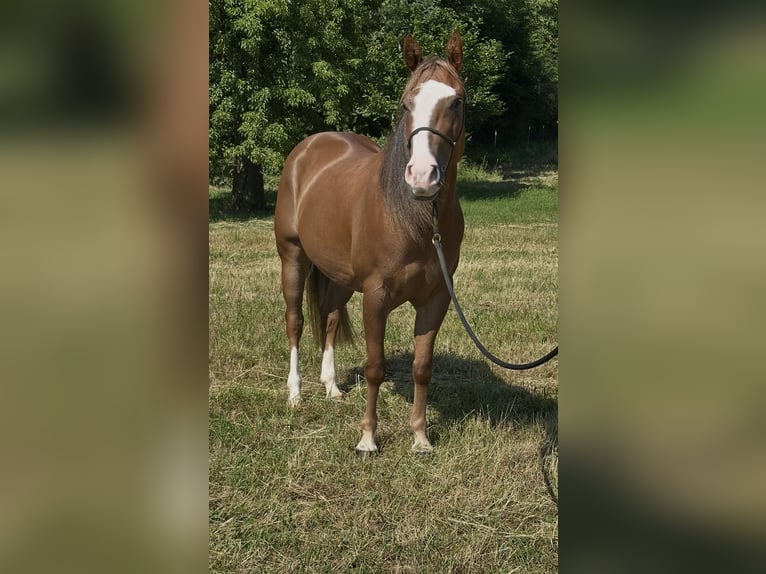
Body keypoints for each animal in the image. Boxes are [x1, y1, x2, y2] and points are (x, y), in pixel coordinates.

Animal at [274, 32, 466, 454]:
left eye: (456, 101)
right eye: (406, 103)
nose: (422, 177)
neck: (414, 222)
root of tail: (307, 148)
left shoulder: (436, 299)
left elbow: (422, 367)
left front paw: (420, 438)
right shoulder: (376, 297)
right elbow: (375, 367)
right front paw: (367, 439)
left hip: (341, 277)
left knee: (329, 318)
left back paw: (331, 387)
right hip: (292, 258)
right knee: (295, 322)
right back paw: (294, 394)